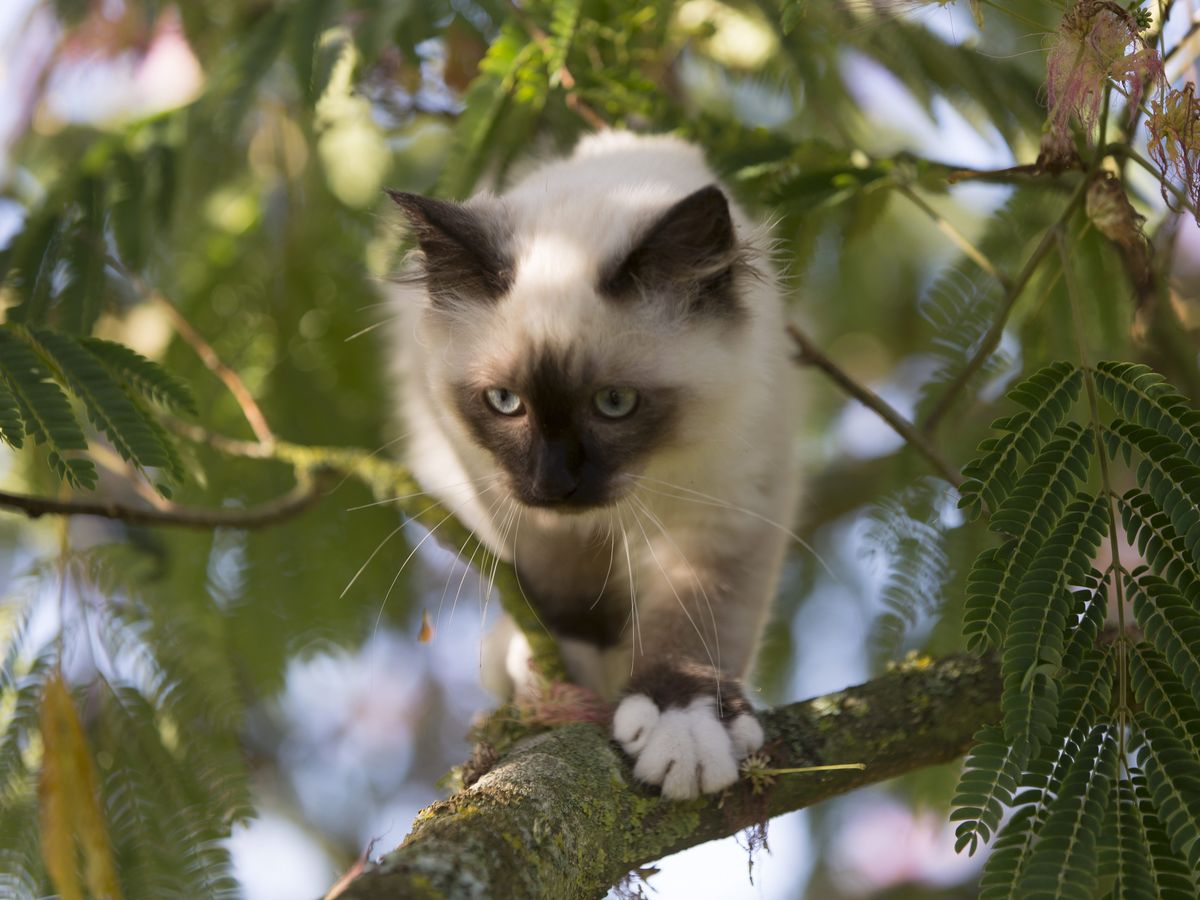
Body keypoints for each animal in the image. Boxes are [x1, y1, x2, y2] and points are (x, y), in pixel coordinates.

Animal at [391, 130, 796, 801]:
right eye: (505, 402)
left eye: (614, 403)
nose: (554, 483)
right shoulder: (502, 487)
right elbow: (564, 588)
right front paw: (567, 668)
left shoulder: (723, 508)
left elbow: (695, 622)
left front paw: (684, 728)